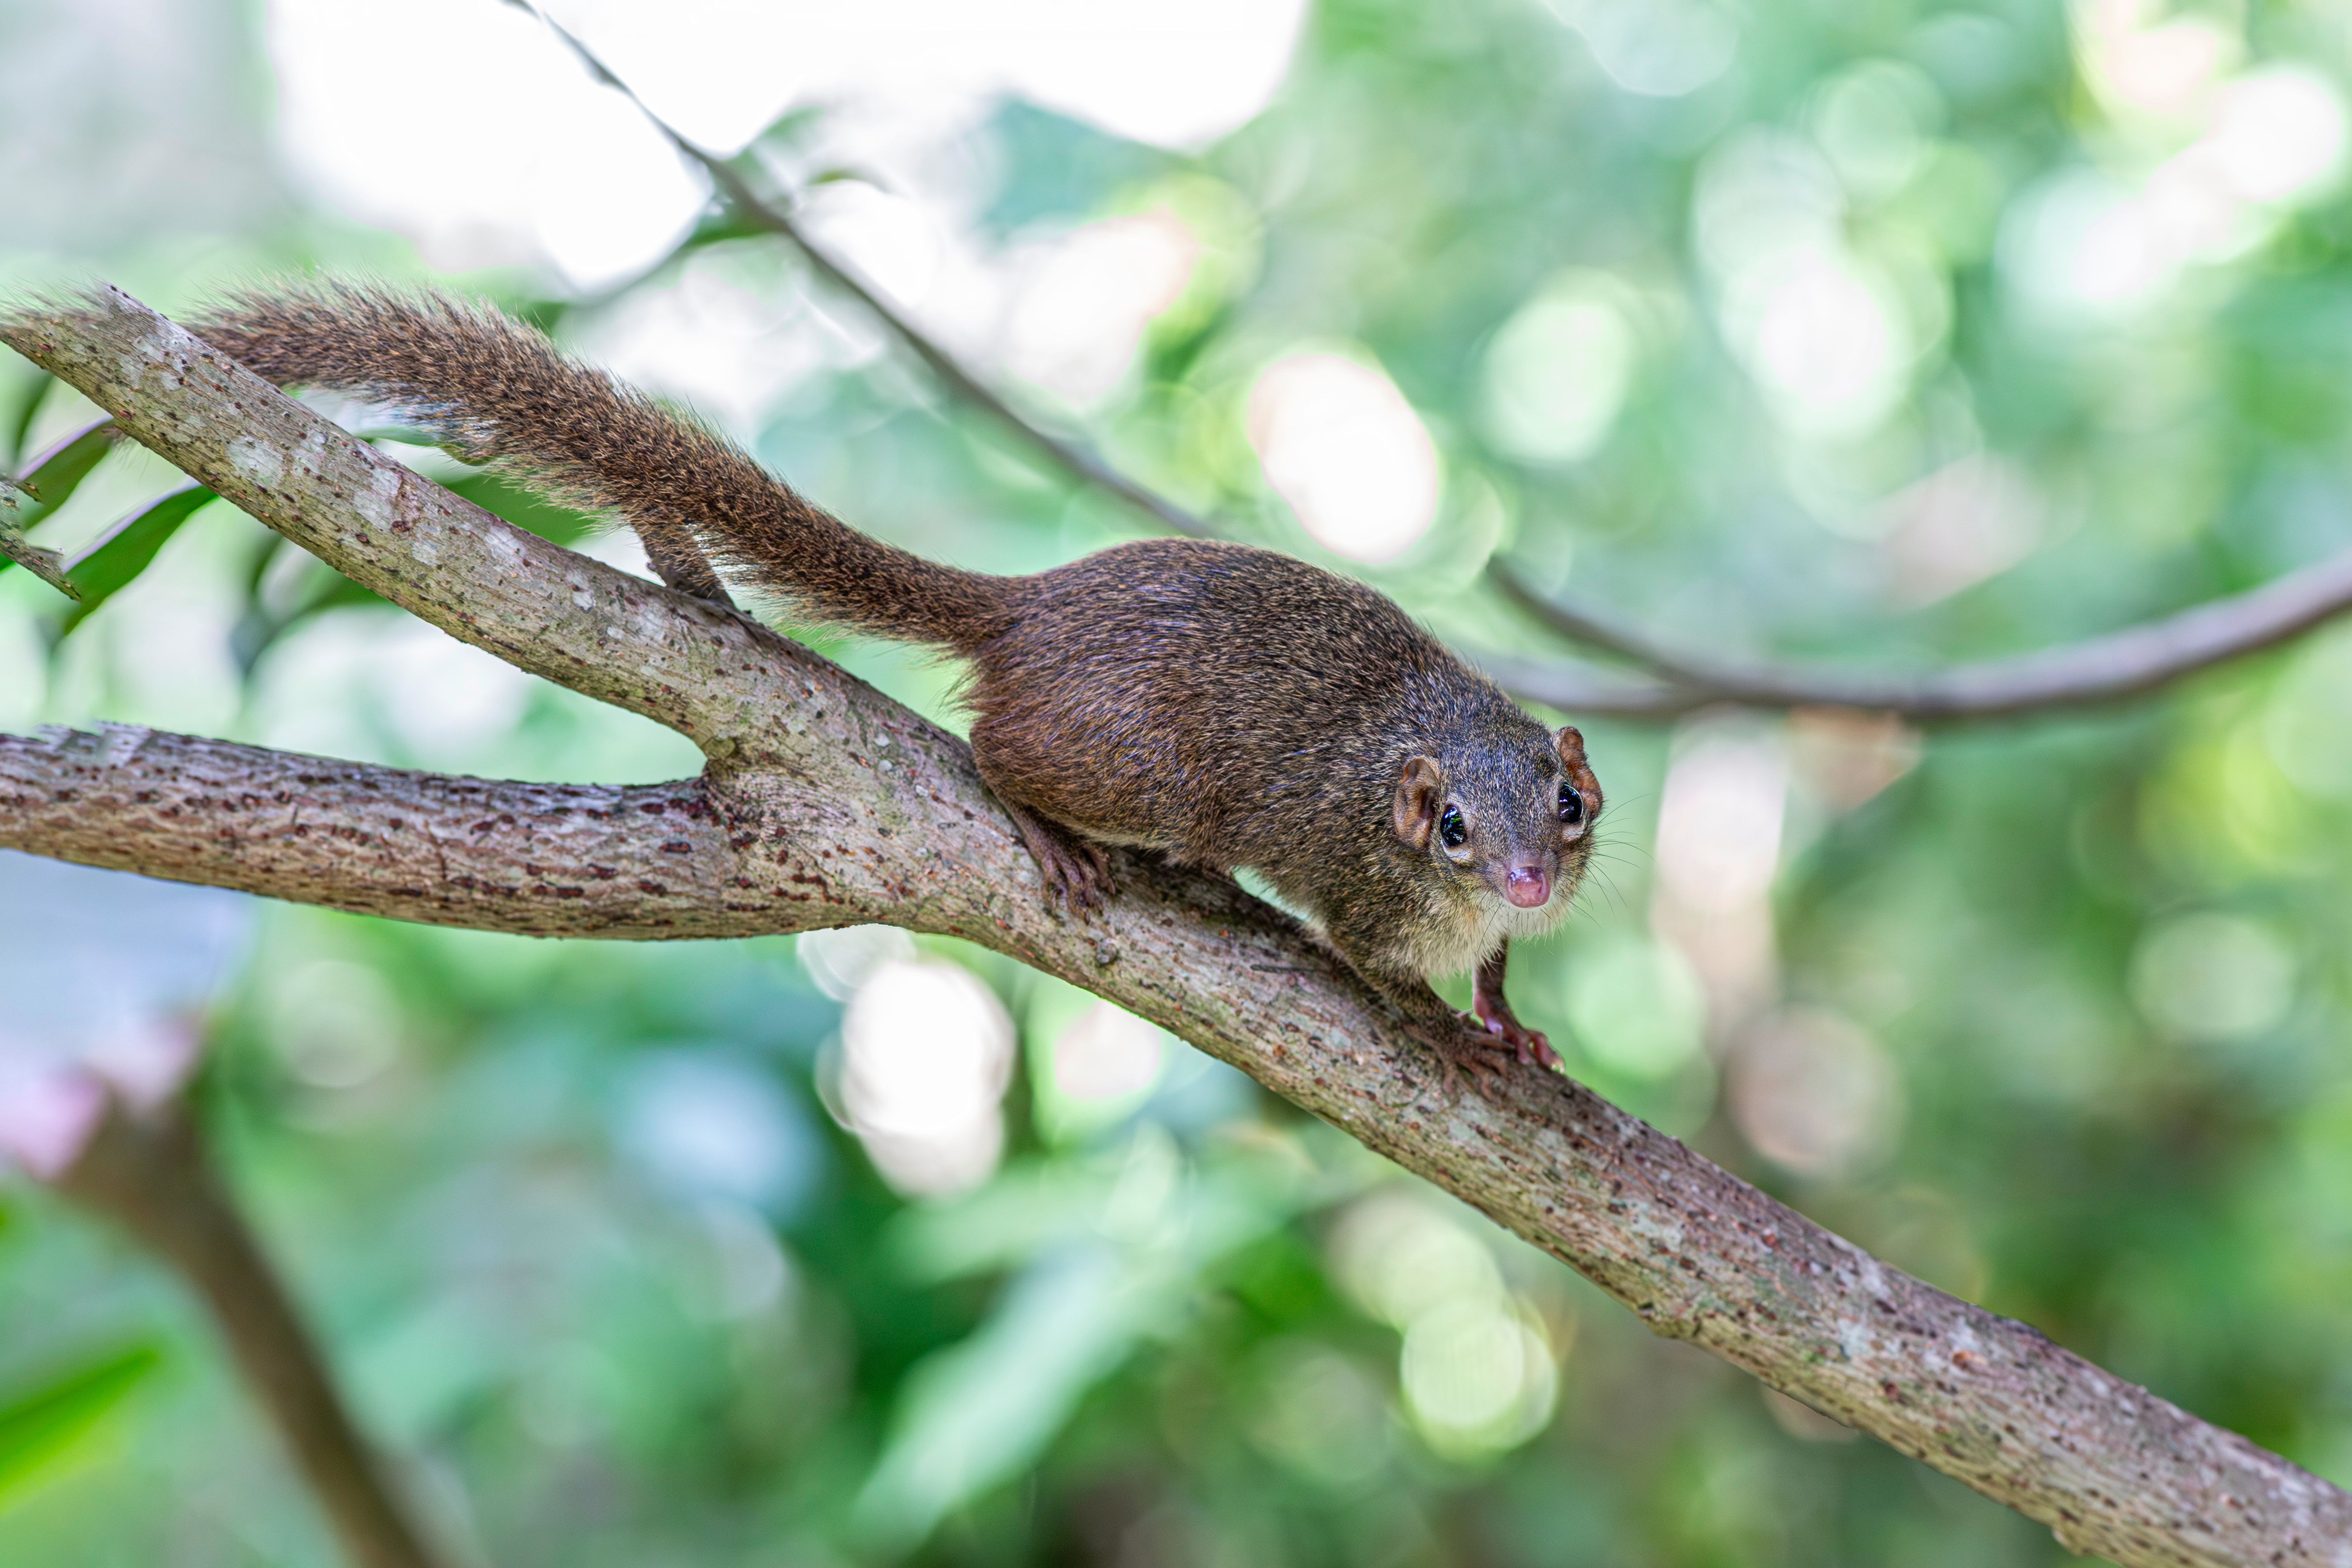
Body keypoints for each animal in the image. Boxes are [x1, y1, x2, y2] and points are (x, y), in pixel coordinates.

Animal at [192, 285, 1603, 1082]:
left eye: (1570, 805)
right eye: (1452, 827)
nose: (1530, 881)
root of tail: (1030, 607)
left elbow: (1495, 973)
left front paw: (1510, 1018)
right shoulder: (1364, 898)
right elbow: (1381, 976)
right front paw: (1447, 1036)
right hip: (1137, 768)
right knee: (992, 749)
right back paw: (1050, 829)